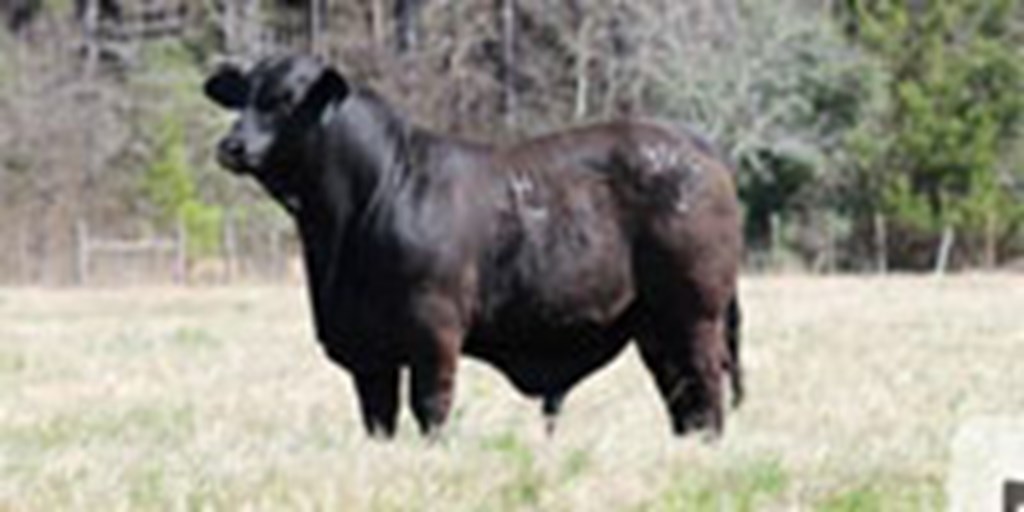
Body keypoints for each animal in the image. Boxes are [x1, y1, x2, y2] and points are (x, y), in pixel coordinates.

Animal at [203, 54, 743, 439]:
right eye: (241, 97)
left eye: (287, 99)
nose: (231, 146)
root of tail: (691, 140)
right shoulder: (366, 353)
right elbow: (379, 421)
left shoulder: (434, 334)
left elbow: (430, 411)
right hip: (654, 326)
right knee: (681, 397)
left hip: (695, 314)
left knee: (705, 388)